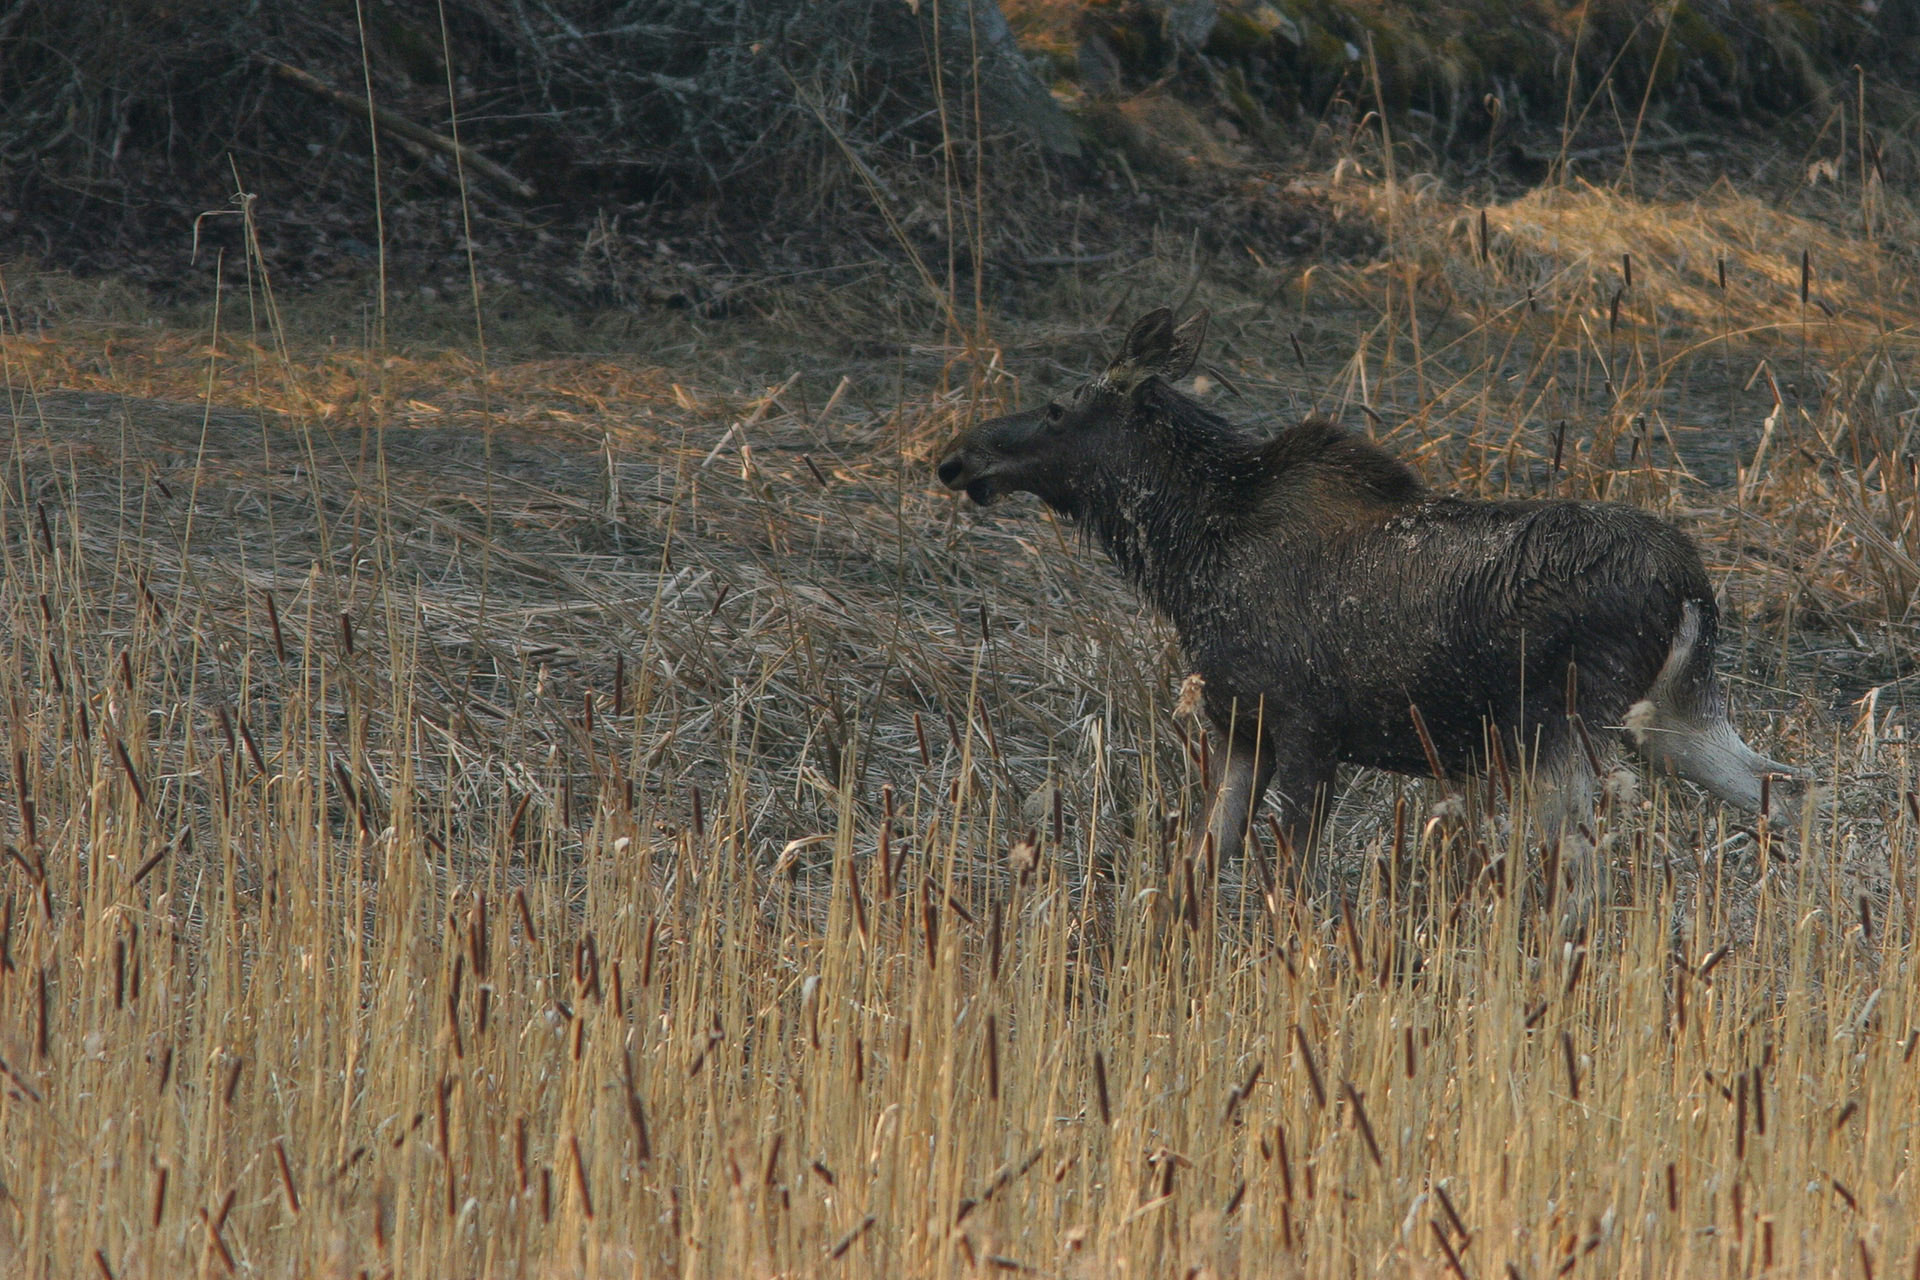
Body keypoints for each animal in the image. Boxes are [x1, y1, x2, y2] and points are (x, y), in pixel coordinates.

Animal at [936, 310, 1789, 871]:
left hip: (1559, 725)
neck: (1186, 557)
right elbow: (1200, 868)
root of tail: (1691, 584)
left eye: (1057, 407)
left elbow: (1288, 887)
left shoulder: (1308, 729)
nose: (957, 456)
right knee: (1788, 791)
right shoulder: (1242, 727)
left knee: (1579, 865)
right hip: (1674, 717)